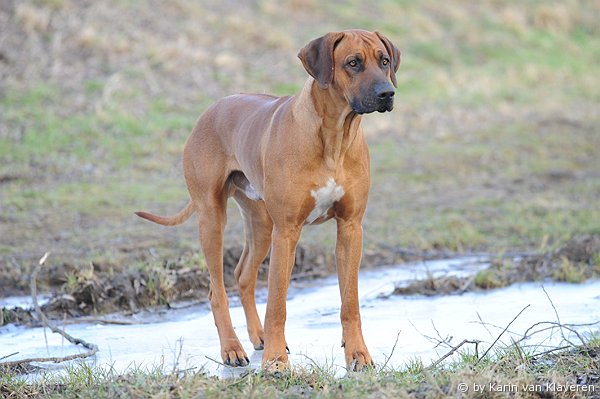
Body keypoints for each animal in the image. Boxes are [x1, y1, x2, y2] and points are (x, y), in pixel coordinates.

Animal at [136, 28, 398, 372]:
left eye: (385, 61)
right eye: (353, 62)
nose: (387, 93)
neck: (334, 137)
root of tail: (211, 108)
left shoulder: (351, 227)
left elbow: (350, 303)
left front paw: (357, 353)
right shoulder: (286, 231)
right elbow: (277, 305)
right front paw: (275, 362)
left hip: (261, 223)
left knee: (243, 275)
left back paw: (258, 336)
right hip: (212, 218)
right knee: (217, 290)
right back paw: (232, 348)